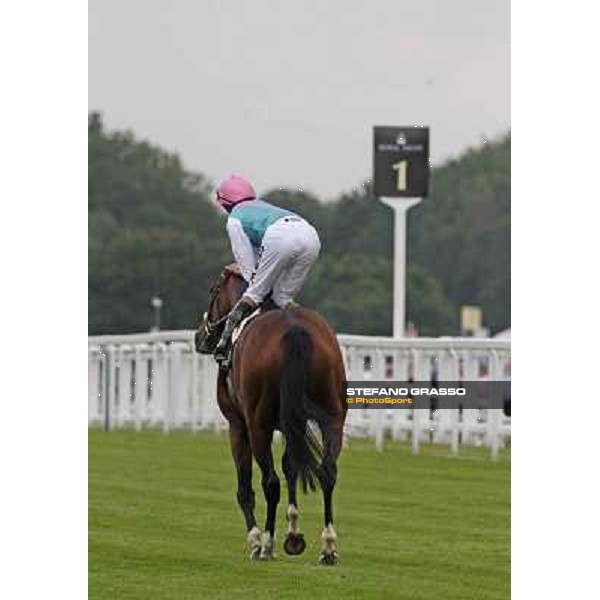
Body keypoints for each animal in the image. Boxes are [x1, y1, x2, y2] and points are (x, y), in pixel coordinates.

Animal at [196, 264, 346, 564]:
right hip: (334, 416)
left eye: (212, 290)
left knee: (270, 482)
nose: (200, 337)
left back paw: (266, 544)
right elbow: (291, 466)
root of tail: (295, 330)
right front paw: (294, 534)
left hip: (258, 425)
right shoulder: (291, 424)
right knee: (327, 472)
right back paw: (328, 546)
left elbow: (246, 488)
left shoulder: (238, 424)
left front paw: (256, 540)